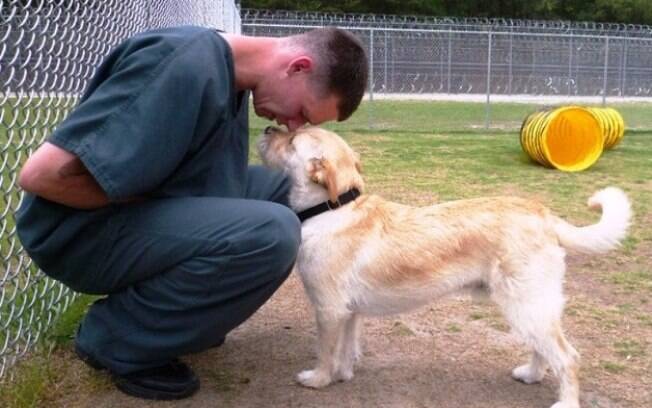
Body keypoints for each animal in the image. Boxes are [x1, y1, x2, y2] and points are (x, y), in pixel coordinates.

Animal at [258, 125, 632, 408]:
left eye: (292, 140)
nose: (267, 128)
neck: (333, 208)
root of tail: (544, 215)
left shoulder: (329, 309)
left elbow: (325, 351)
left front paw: (318, 379)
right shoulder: (349, 312)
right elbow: (347, 350)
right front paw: (343, 375)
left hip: (526, 306)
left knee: (568, 357)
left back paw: (565, 402)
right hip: (530, 309)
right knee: (544, 350)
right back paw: (530, 374)